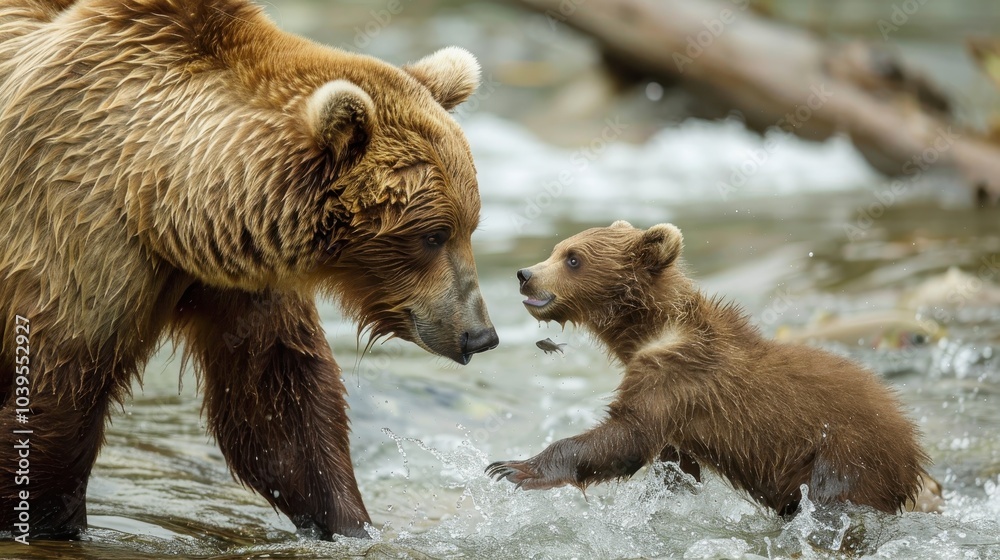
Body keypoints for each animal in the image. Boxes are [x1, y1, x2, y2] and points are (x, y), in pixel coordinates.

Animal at [0, 0, 498, 540]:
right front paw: (46, 520)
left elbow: (279, 403)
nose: (481, 335)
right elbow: (57, 398)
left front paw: (351, 523)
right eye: (433, 235)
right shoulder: (77, 233)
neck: (166, 204)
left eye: (470, 225)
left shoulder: (238, 269)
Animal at [487, 220, 941, 516]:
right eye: (557, 249)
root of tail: (915, 452)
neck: (649, 331)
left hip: (847, 455)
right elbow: (672, 465)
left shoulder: (674, 377)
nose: (525, 274)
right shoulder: (674, 409)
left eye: (573, 258)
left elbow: (625, 437)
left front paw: (512, 467)